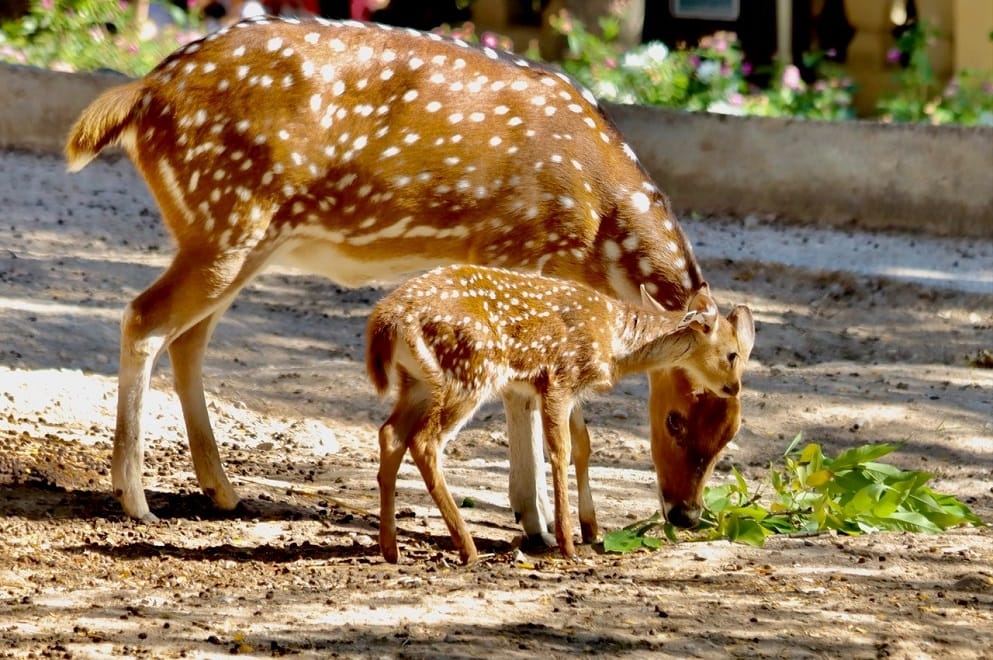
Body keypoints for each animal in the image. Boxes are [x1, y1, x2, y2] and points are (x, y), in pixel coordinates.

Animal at [68, 15, 752, 532]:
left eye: (730, 436)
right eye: (676, 418)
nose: (687, 514)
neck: (596, 230)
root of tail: (141, 93)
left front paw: (563, 523)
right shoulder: (515, 253)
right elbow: (536, 403)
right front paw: (544, 526)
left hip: (236, 236)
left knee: (188, 339)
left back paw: (223, 491)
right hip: (224, 219)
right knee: (144, 319)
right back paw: (136, 500)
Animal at [368, 262, 756, 564]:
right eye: (733, 354)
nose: (734, 387)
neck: (616, 341)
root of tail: (386, 320)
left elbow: (572, 448)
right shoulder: (559, 378)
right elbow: (560, 450)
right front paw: (569, 544)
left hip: (418, 383)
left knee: (390, 434)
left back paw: (391, 549)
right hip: (469, 373)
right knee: (425, 441)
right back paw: (468, 549)